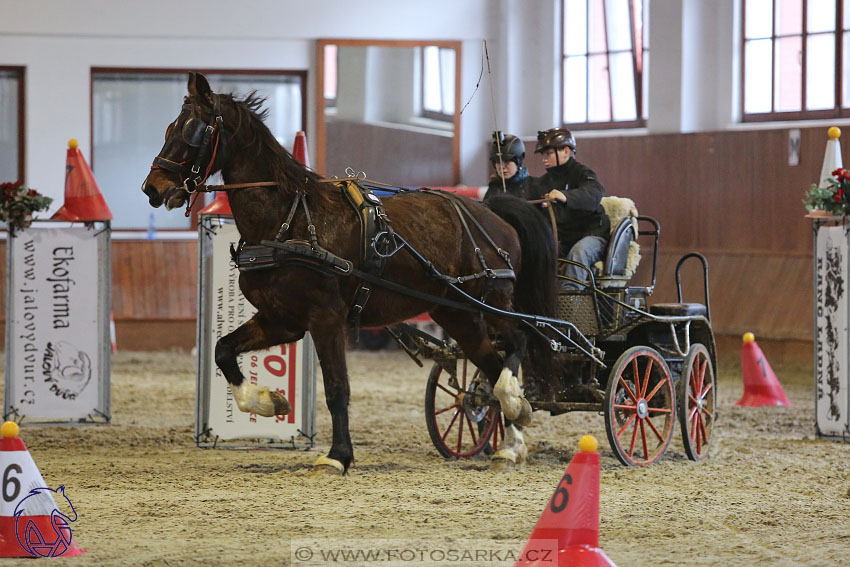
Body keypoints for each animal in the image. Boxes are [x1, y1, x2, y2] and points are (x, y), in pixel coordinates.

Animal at [141, 74, 556, 474]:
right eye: (170, 127)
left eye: (192, 130)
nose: (152, 189)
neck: (288, 221)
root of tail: (495, 213)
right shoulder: (281, 320)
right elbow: (223, 350)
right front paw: (269, 401)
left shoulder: (325, 319)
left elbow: (337, 388)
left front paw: (337, 456)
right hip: (457, 313)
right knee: (492, 363)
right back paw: (510, 445)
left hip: (491, 300)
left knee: (518, 341)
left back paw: (514, 405)